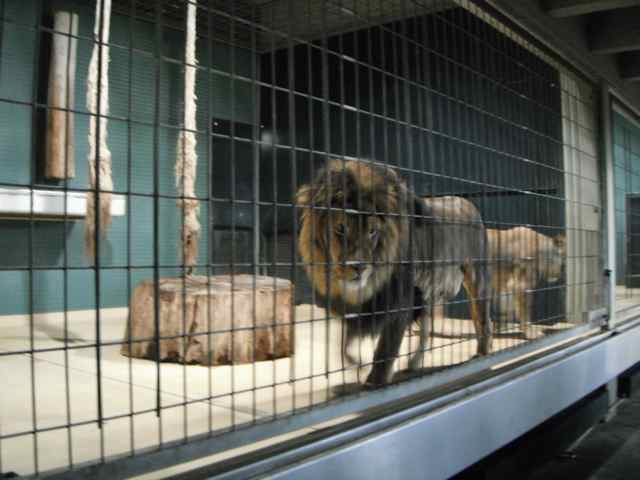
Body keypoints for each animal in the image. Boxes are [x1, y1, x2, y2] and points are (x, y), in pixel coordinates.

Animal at [296, 160, 496, 386]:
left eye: (372, 231)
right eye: (341, 228)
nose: (359, 267)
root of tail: (468, 202)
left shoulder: (400, 301)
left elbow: (385, 349)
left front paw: (375, 381)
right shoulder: (363, 309)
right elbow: (343, 346)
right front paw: (356, 364)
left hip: (476, 278)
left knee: (483, 318)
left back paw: (483, 353)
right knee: (426, 329)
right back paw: (414, 363)